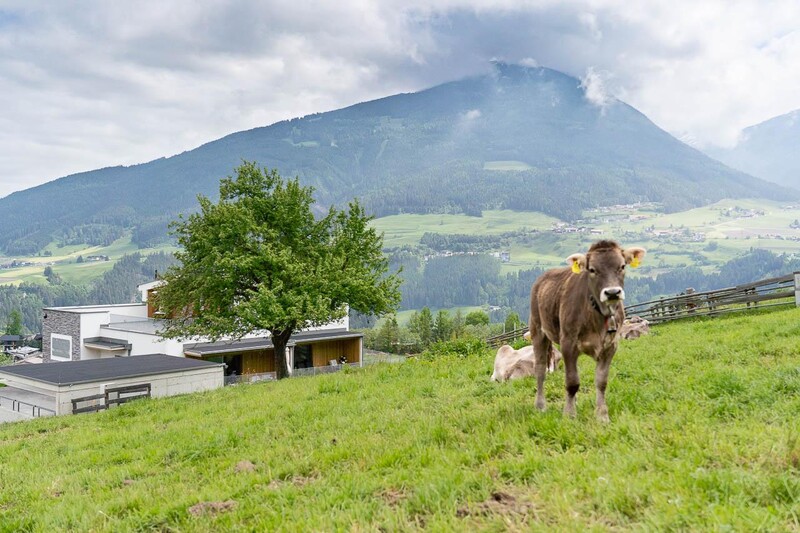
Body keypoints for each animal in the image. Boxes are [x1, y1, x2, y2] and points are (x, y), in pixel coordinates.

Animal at [528, 240, 645, 422]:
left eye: (622, 266)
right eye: (592, 269)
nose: (612, 292)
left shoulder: (610, 346)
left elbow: (601, 382)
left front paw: (602, 415)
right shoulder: (568, 343)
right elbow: (572, 382)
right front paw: (569, 415)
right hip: (538, 330)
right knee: (540, 369)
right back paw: (540, 406)